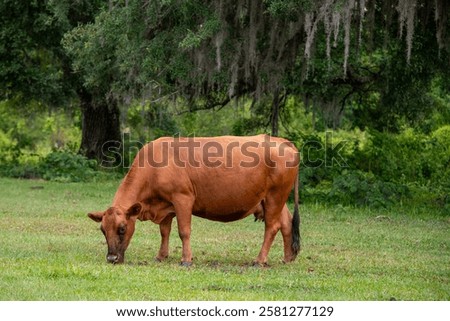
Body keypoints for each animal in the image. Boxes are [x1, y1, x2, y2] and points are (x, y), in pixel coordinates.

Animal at [87, 133, 298, 264]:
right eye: (103, 230)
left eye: (122, 228)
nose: (111, 258)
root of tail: (283, 141)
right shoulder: (166, 205)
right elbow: (164, 231)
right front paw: (161, 256)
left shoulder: (183, 198)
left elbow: (184, 231)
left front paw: (186, 260)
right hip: (273, 200)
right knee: (286, 223)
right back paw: (288, 258)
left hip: (275, 196)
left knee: (272, 227)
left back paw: (259, 260)